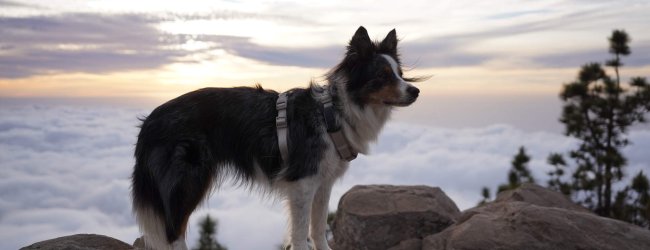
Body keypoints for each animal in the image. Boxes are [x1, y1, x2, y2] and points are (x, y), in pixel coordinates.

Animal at [131, 26, 422, 249]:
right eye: (382, 76)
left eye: (400, 75)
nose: (415, 91)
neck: (334, 112)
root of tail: (150, 121)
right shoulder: (302, 182)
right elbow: (301, 233)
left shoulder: (323, 181)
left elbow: (318, 228)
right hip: (188, 179)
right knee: (173, 231)